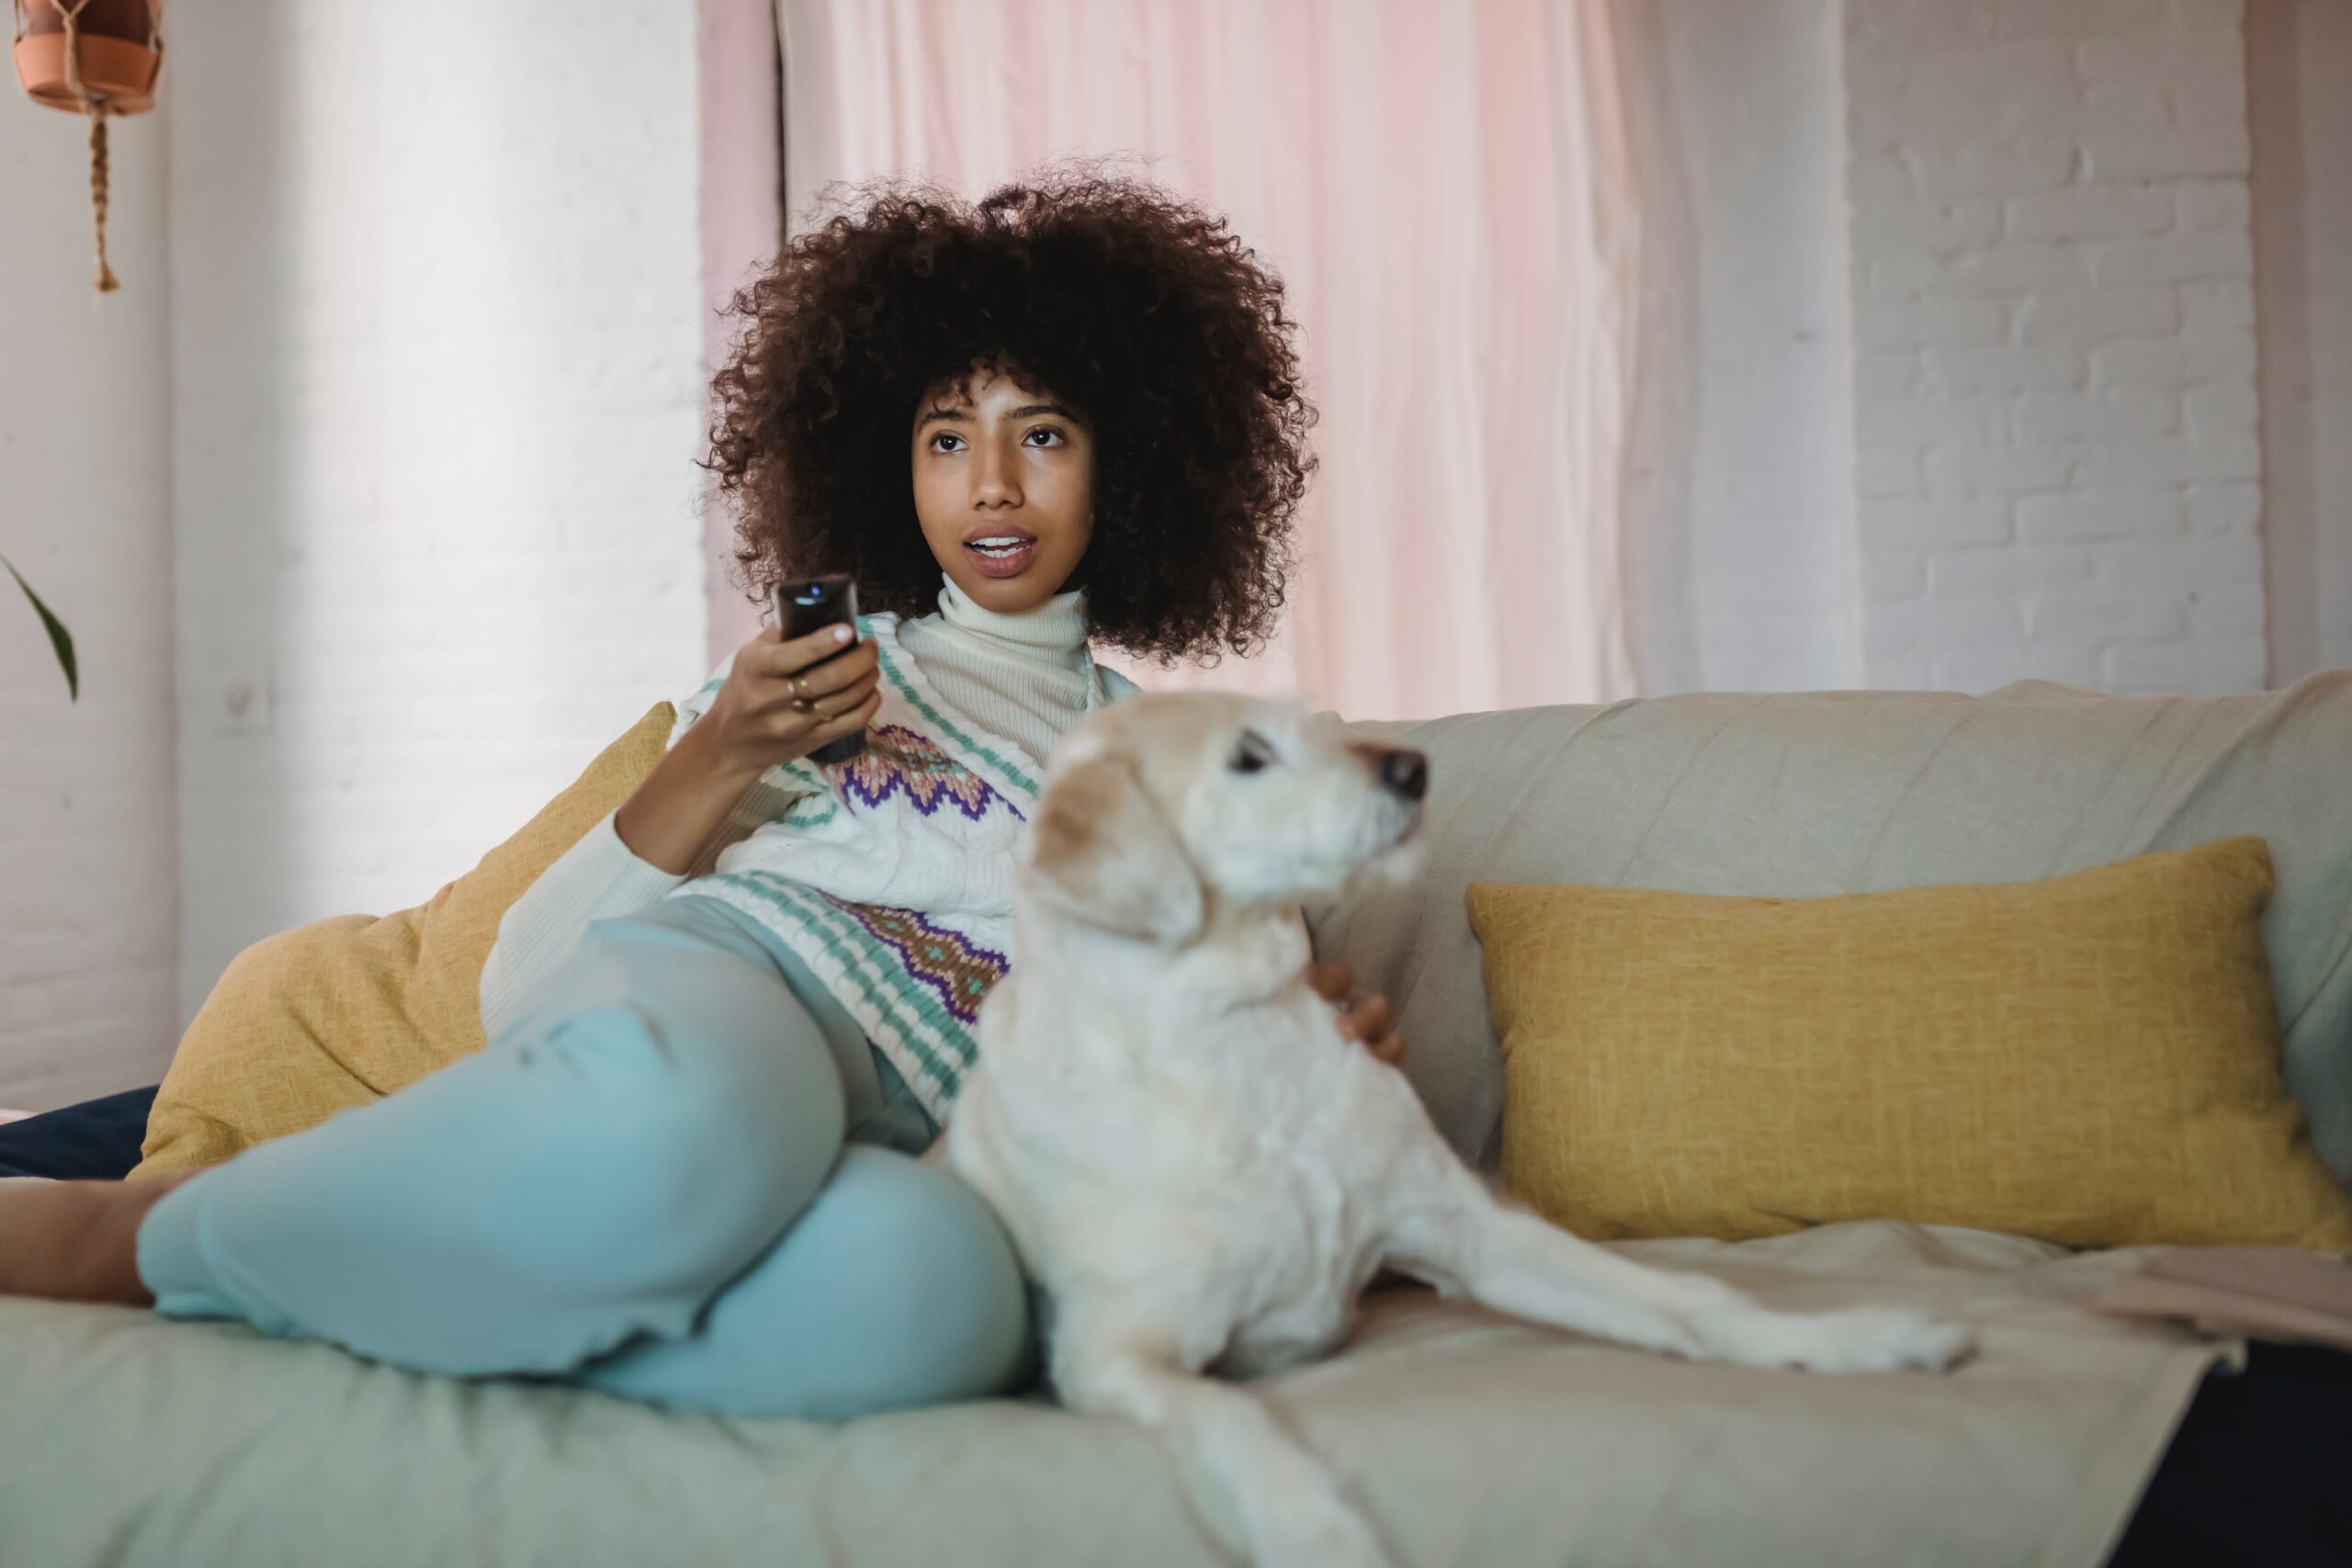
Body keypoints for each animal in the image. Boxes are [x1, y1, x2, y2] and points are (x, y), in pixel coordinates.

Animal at [945, 700, 1975, 1568]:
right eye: (1247, 756)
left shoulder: (1473, 1232)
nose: (1412, 766)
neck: (1241, 1041)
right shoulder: (1115, 1355)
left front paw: (1849, 1340)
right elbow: (1230, 1422)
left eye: (1313, 724)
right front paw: (1316, 1528)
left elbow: (1687, 1301)